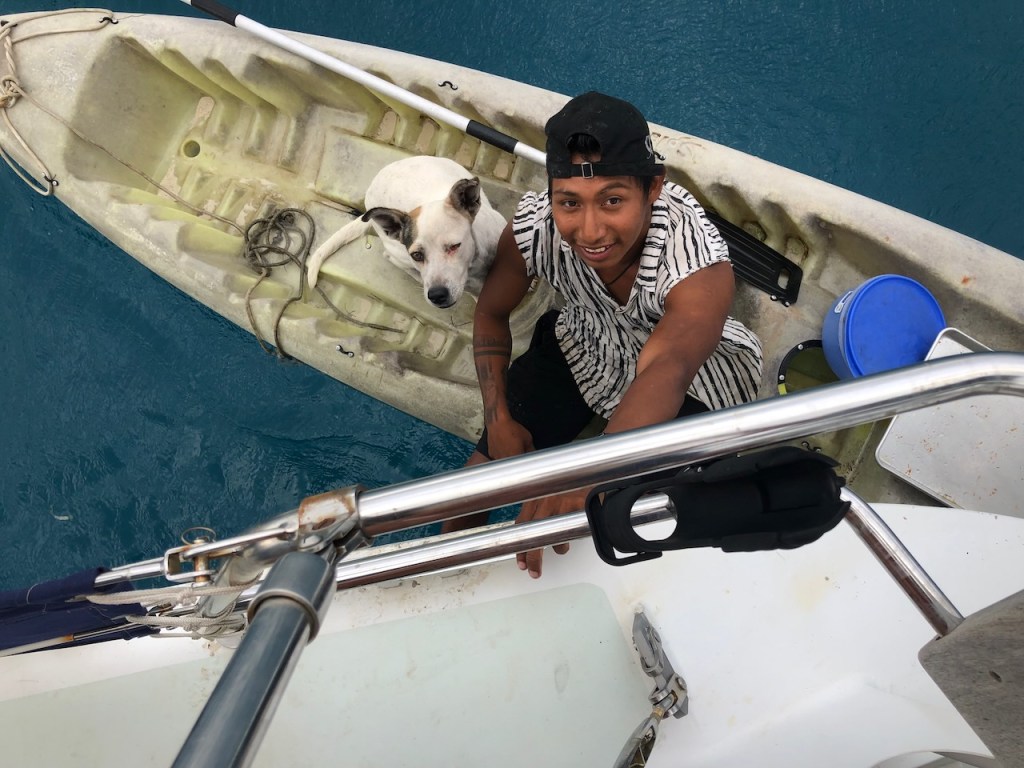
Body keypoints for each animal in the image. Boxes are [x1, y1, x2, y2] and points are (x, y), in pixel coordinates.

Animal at [307, 156, 506, 309]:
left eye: (455, 246)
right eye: (417, 255)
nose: (437, 295)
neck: (477, 264)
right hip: (397, 252)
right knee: (391, 257)